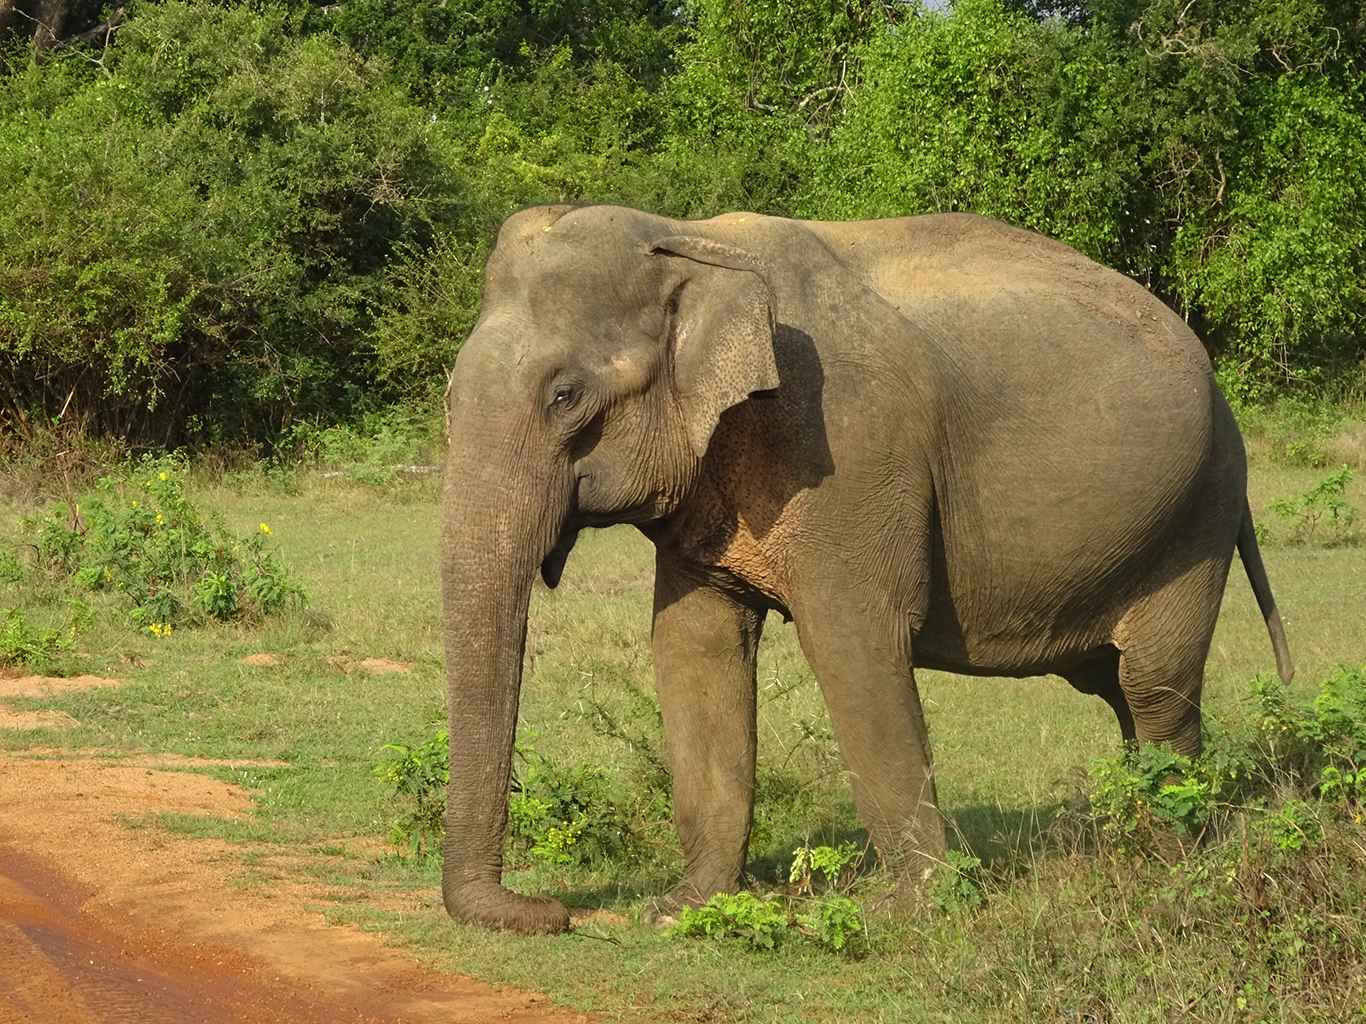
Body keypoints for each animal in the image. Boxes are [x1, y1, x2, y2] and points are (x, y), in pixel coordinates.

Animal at [439, 202, 1289, 939]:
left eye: (565, 396)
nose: (551, 910)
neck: (693, 240)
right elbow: (693, 650)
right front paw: (682, 912)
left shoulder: (850, 446)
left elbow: (856, 646)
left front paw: (906, 917)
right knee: (1117, 687)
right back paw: (1133, 844)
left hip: (1199, 515)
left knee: (1154, 686)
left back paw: (1169, 868)